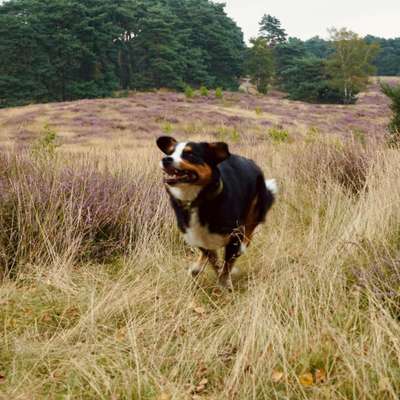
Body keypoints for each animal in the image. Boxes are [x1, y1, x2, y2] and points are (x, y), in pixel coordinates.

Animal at [156, 137, 278, 288]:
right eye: (171, 152)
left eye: (190, 154)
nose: (166, 159)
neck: (198, 200)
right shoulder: (196, 235)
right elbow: (213, 259)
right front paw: (210, 271)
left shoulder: (235, 235)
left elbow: (227, 265)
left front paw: (224, 284)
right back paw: (197, 267)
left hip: (255, 207)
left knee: (249, 232)